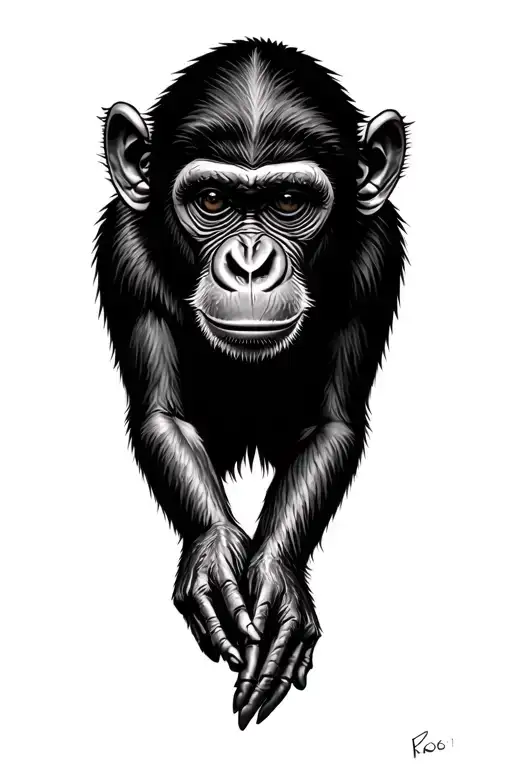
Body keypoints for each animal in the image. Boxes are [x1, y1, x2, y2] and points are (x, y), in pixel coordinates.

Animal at [95, 38, 408, 730]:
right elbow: (163, 414)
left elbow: (331, 423)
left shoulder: (378, 256)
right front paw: (216, 555)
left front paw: (277, 582)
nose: (249, 263)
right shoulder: (122, 249)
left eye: (289, 203)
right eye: (213, 201)